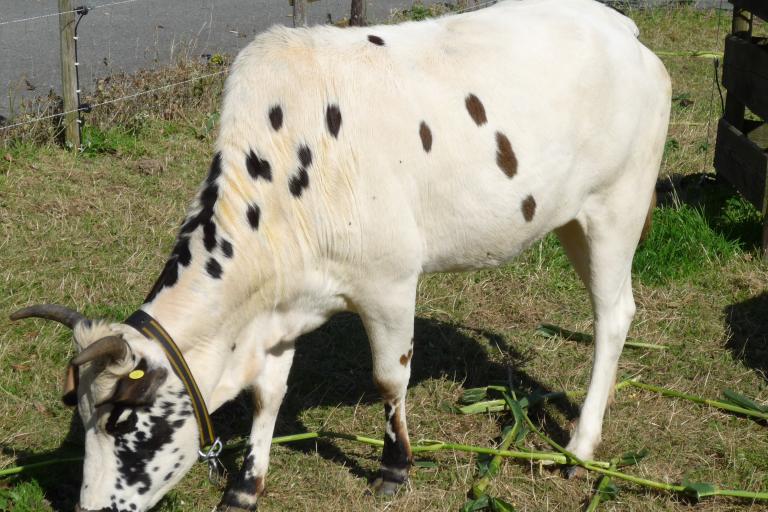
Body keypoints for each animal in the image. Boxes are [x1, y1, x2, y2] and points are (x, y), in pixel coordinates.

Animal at [13, 2, 672, 510]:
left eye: (123, 421)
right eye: (80, 415)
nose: (91, 509)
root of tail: (620, 26)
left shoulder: (389, 283)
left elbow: (389, 377)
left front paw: (395, 468)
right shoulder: (277, 310)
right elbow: (268, 394)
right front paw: (246, 486)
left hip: (617, 207)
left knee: (613, 315)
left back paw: (580, 446)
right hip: (570, 218)